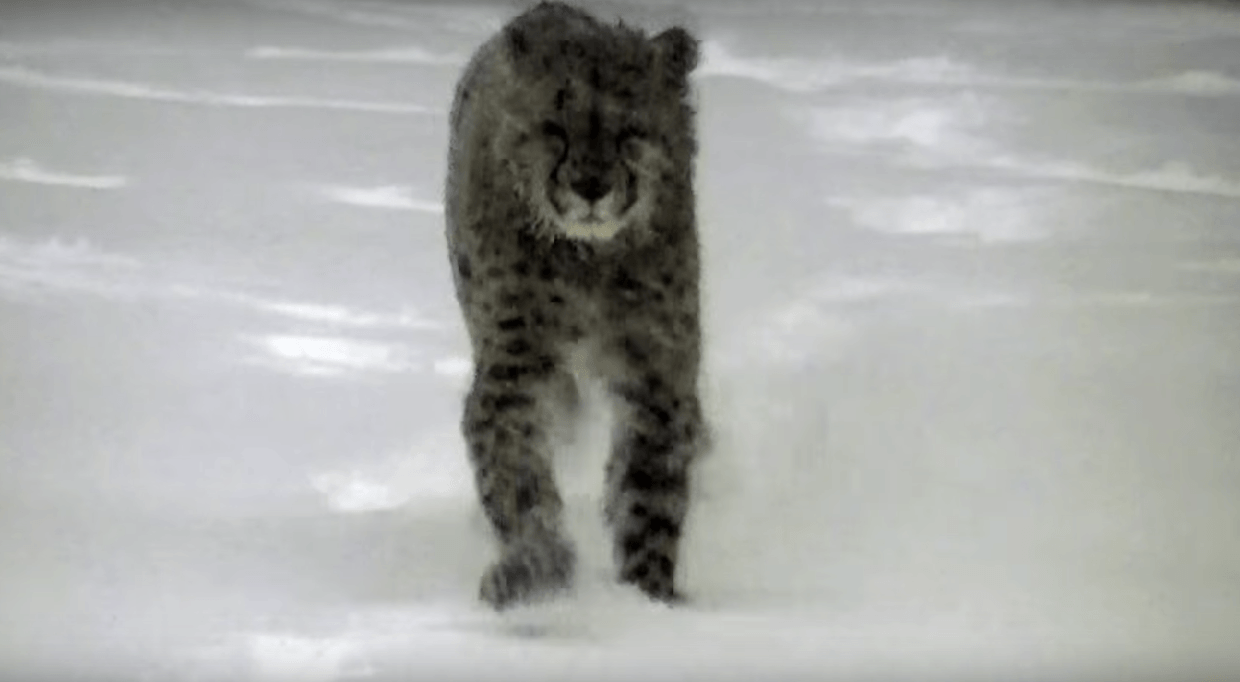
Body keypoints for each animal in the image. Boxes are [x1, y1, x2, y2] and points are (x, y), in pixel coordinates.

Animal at [446, 0, 704, 610]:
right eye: (554, 130)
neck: (591, 257)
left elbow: (650, 491)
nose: (590, 186)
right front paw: (534, 570)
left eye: (630, 131)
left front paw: (650, 599)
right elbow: (516, 473)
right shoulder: (515, 367)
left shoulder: (656, 372)